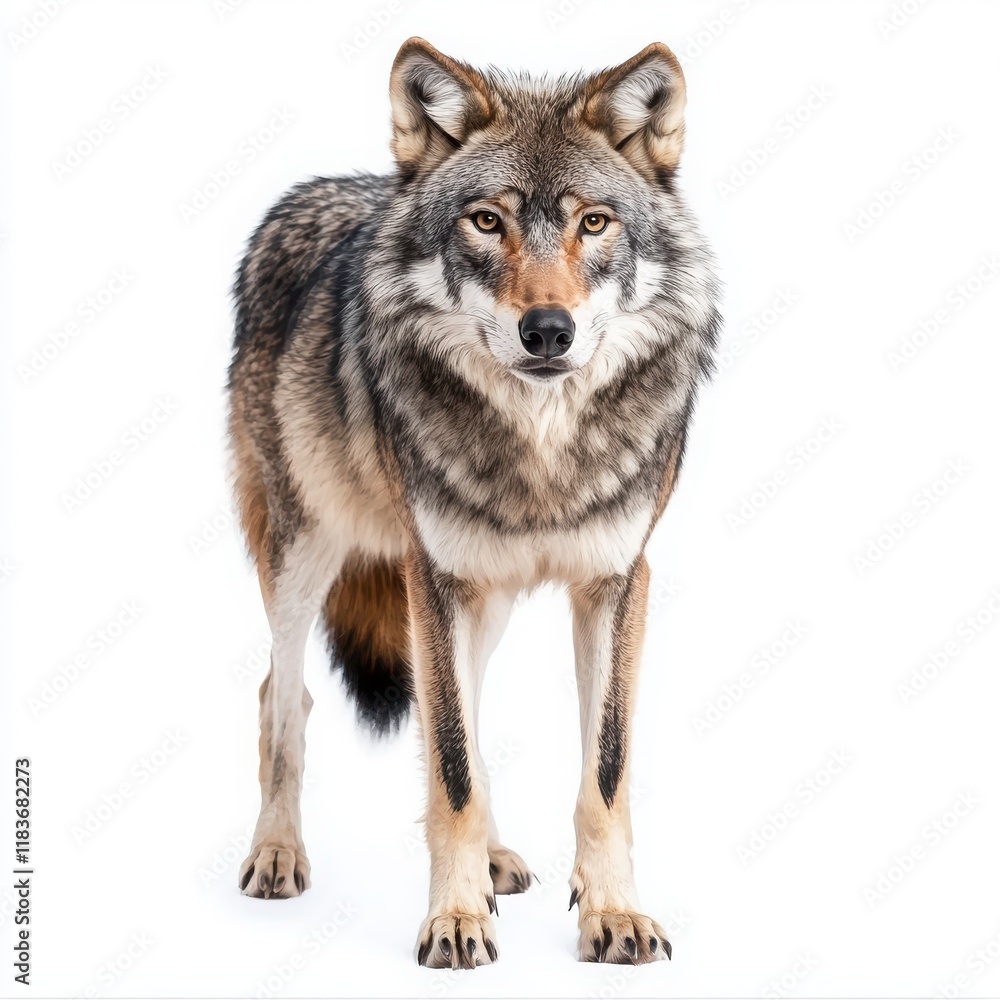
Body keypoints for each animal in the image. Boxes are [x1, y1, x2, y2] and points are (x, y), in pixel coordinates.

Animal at [228, 37, 720, 968]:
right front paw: (454, 922)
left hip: (475, 601)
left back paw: (492, 859)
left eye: (593, 224)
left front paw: (613, 914)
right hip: (309, 553)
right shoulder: (433, 575)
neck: (541, 450)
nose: (548, 331)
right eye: (487, 222)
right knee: (283, 694)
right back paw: (276, 852)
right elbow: (449, 765)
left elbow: (599, 770)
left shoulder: (616, 579)